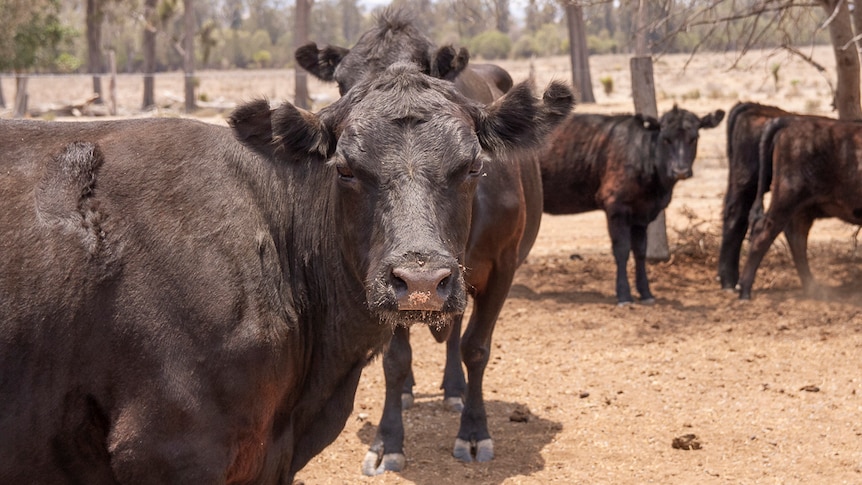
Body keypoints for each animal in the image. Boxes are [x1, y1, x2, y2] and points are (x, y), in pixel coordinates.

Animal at [296, 7, 572, 474]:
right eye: (341, 83)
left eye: (473, 164)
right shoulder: (388, 278)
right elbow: (394, 358)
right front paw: (388, 440)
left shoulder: (502, 266)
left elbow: (476, 347)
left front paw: (474, 432)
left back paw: (455, 389)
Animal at [544, 107, 724, 302]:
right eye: (665, 138)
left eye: (694, 138)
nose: (680, 170)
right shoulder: (616, 206)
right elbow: (622, 250)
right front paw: (623, 294)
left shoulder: (642, 214)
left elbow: (640, 252)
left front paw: (646, 293)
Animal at [740, 115, 862, 298]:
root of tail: (793, 120)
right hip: (786, 200)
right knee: (765, 233)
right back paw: (745, 290)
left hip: (802, 209)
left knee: (796, 239)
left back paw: (812, 288)